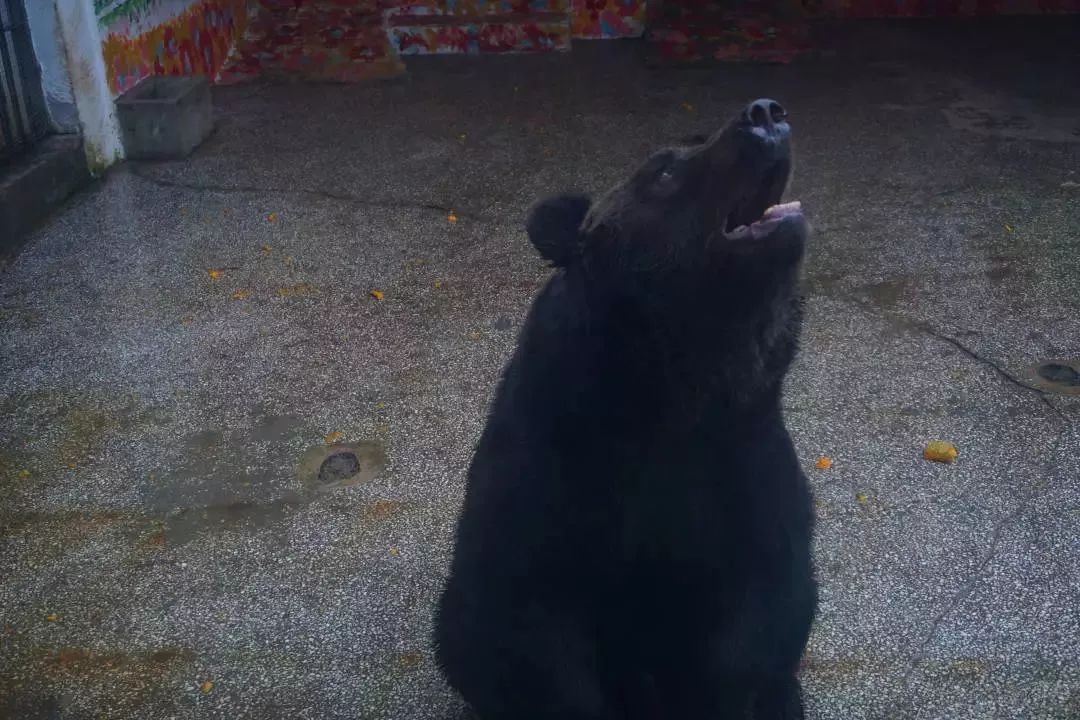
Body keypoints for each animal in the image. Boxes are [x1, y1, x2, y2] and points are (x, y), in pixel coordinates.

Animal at [435, 98, 816, 720]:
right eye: (664, 170)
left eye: (693, 143)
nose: (765, 113)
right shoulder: (552, 477)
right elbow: (531, 630)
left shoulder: (744, 462)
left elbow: (759, 618)